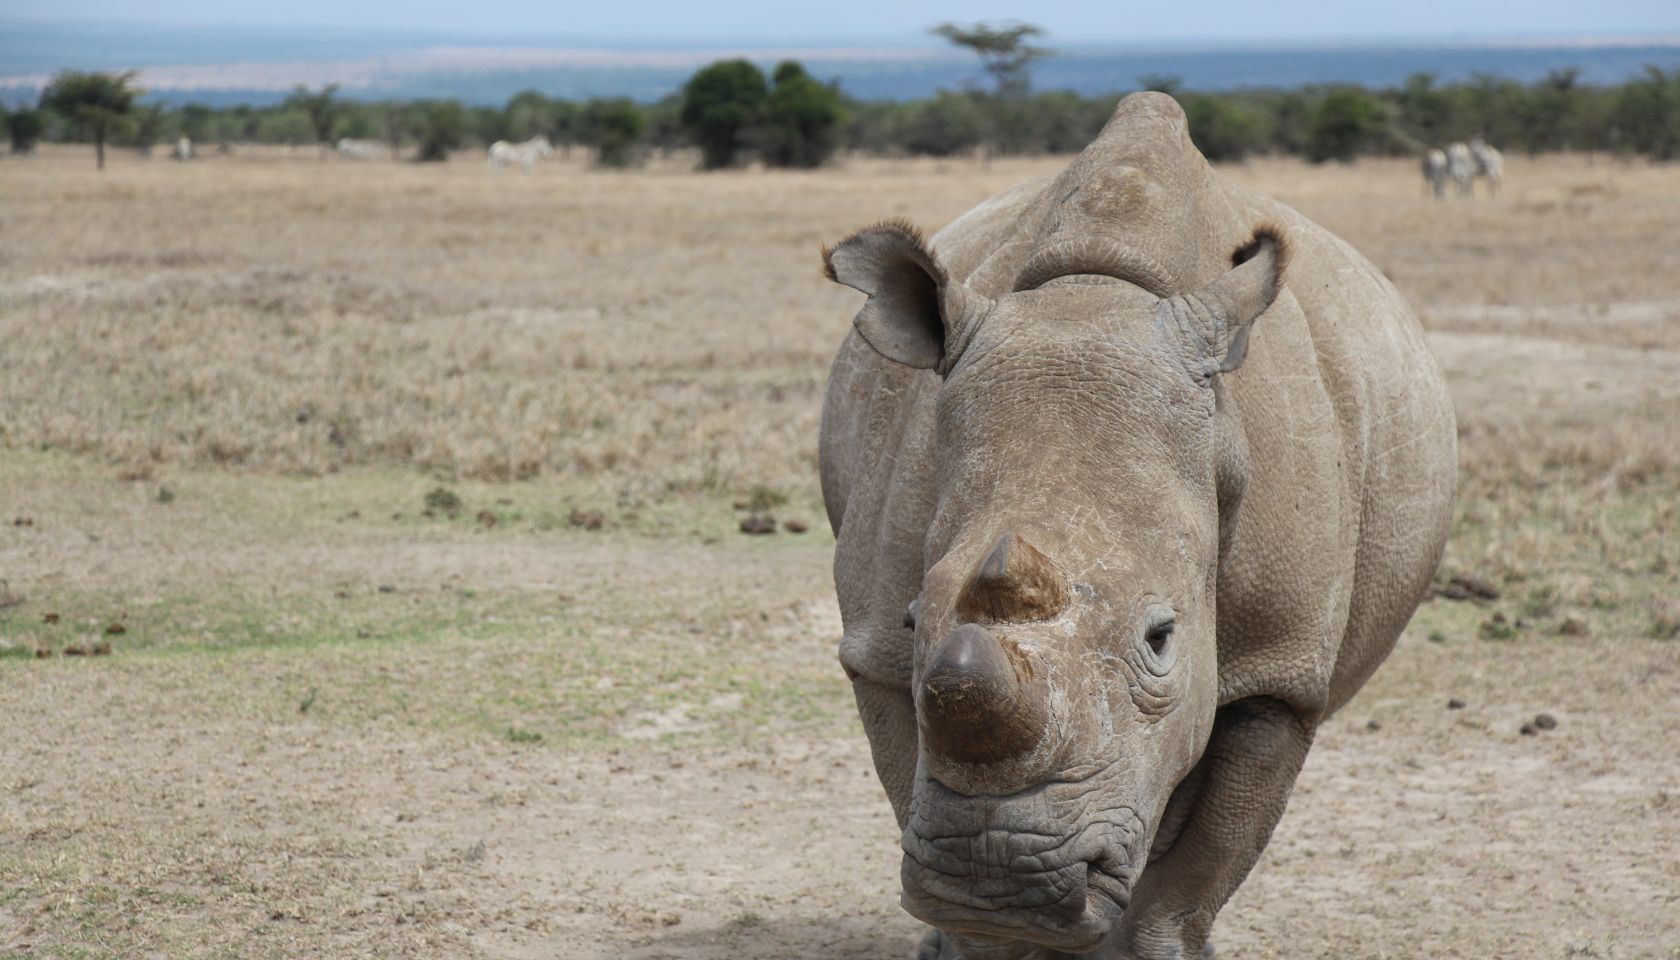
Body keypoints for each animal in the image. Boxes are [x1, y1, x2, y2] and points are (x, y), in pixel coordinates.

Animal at [818, 93, 1457, 959]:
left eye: (1162, 638)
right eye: (915, 619)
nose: (998, 876)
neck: (1093, 299)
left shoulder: (1278, 668)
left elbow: (1199, 869)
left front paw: (1156, 947)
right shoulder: (879, 653)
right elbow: (908, 760)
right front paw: (980, 937)